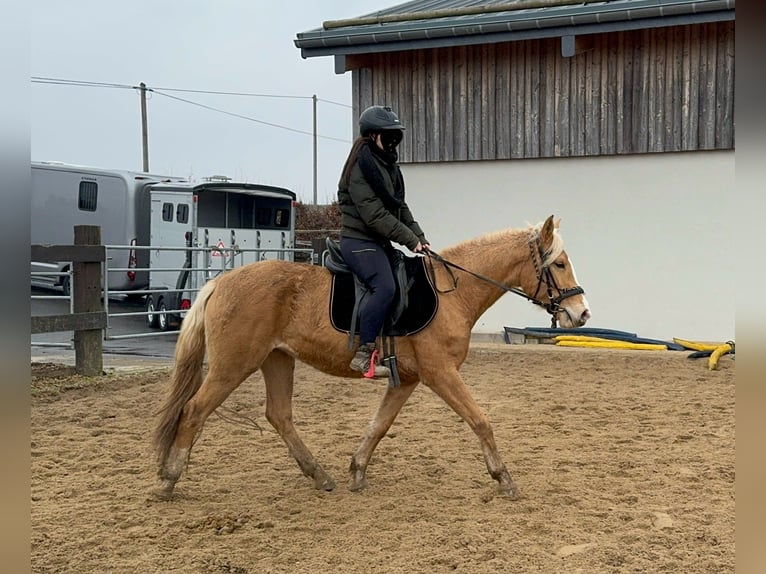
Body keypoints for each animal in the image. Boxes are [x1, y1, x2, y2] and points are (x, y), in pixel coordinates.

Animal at [153, 214, 592, 502]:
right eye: (558, 264)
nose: (582, 313)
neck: (453, 291)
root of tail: (220, 282)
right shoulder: (440, 373)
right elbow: (480, 420)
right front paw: (503, 478)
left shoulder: (409, 379)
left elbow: (379, 425)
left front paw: (357, 470)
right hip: (233, 365)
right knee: (194, 410)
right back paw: (169, 480)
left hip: (276, 359)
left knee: (279, 415)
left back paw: (319, 475)